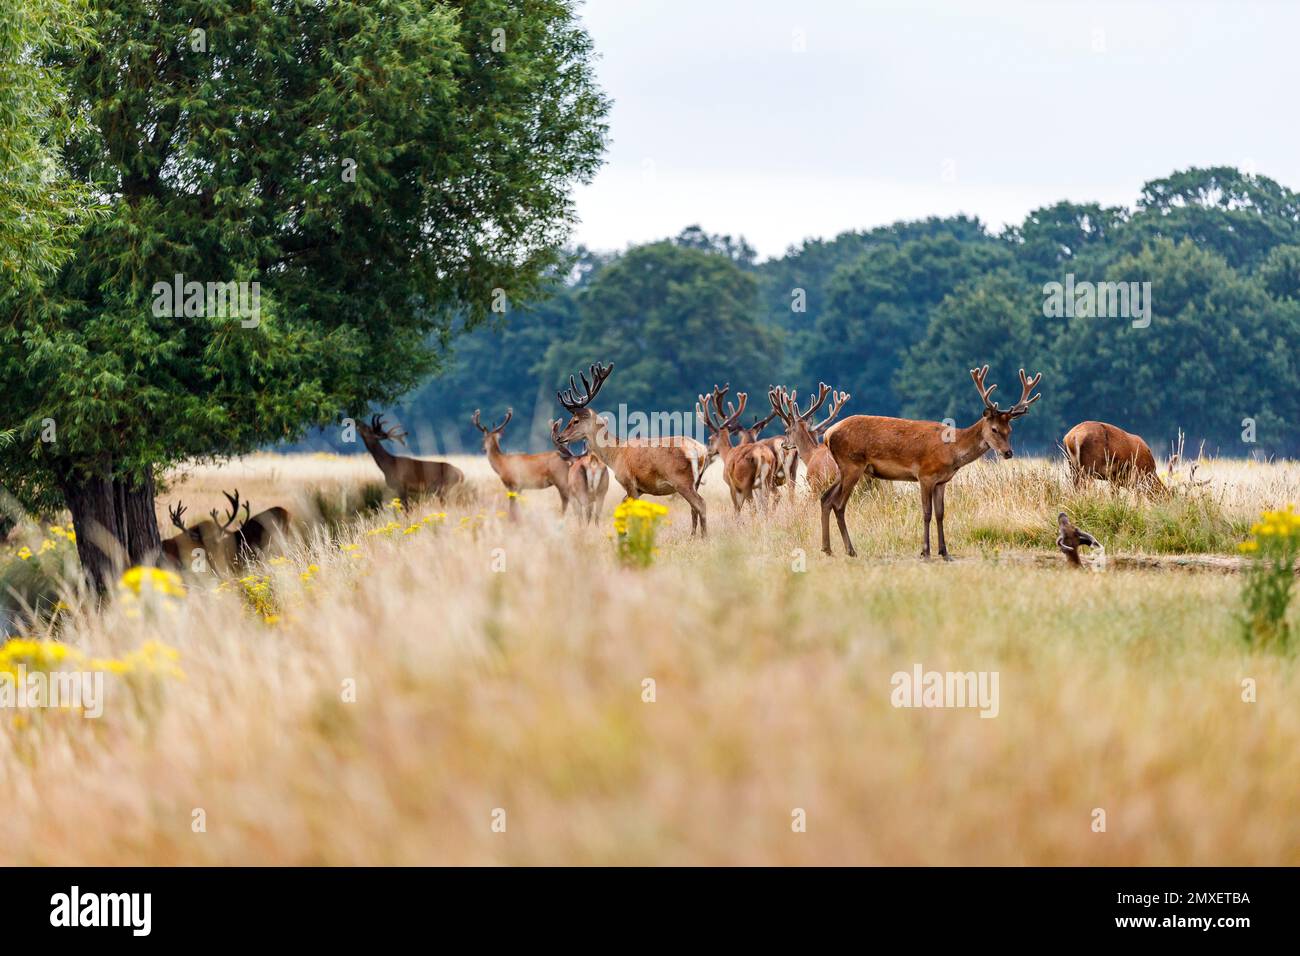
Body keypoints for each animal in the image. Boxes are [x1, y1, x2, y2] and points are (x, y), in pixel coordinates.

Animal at [551, 361, 712, 535]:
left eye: (575, 420)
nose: (560, 437)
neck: (615, 454)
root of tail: (701, 450)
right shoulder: (639, 489)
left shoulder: (629, 482)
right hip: (696, 481)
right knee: (694, 508)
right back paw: (693, 536)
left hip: (681, 480)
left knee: (701, 504)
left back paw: (704, 537)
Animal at [821, 366, 1045, 561]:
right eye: (994, 429)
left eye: (1010, 430)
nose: (1008, 452)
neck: (952, 451)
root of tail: (827, 434)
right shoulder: (925, 475)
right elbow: (927, 513)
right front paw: (925, 551)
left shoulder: (941, 481)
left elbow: (940, 514)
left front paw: (945, 552)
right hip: (852, 464)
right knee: (839, 504)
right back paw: (850, 550)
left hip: (843, 469)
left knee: (826, 498)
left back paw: (827, 549)